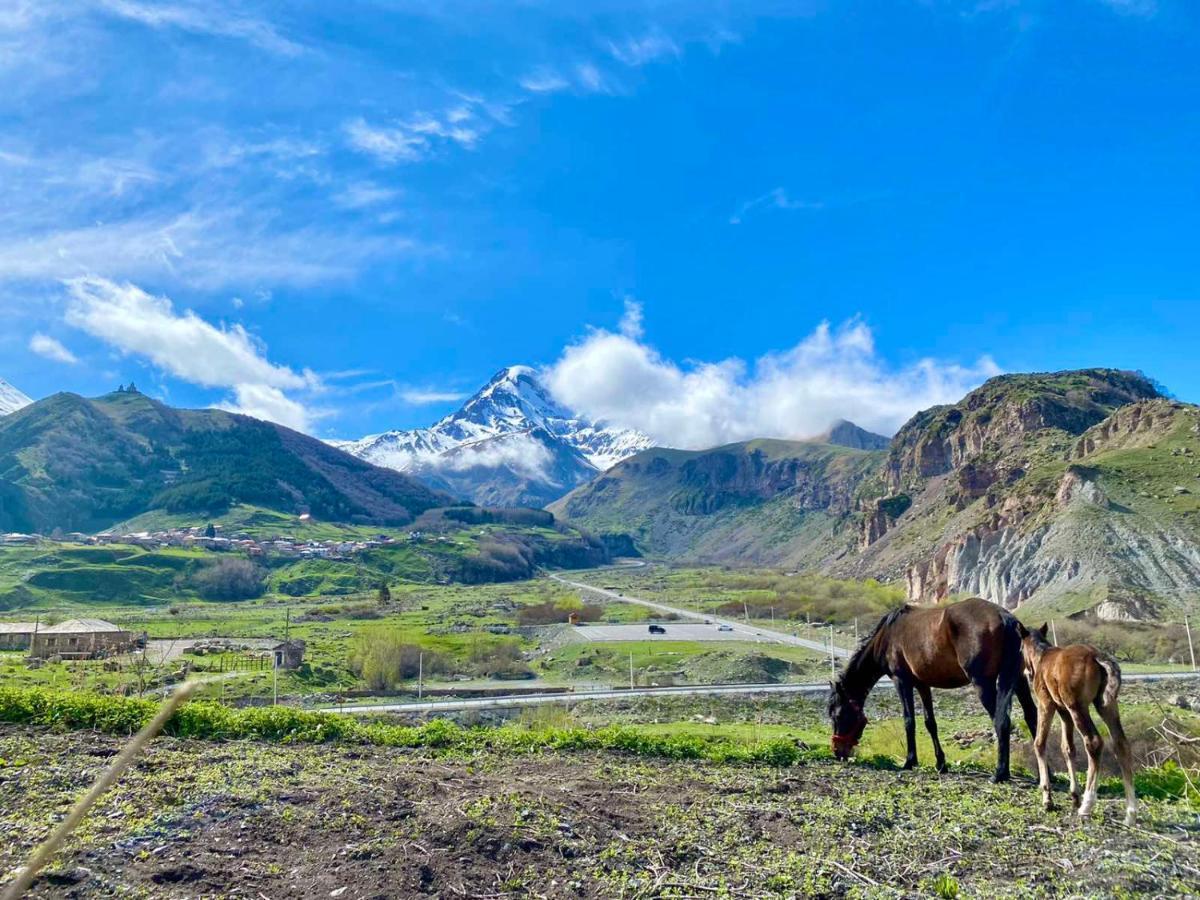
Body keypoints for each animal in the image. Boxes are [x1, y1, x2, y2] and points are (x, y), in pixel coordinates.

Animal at [830, 600, 1036, 782]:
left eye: (838, 715)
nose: (837, 752)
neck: (887, 636)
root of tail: (1005, 617)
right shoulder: (923, 685)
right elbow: (930, 723)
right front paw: (941, 764)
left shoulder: (901, 682)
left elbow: (909, 721)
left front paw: (909, 761)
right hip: (1019, 680)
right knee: (1032, 716)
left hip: (983, 684)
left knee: (1001, 721)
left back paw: (1000, 773)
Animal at [1017, 628, 1137, 825]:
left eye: (1020, 648)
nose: (1027, 673)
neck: (1043, 657)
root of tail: (1097, 656)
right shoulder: (1063, 712)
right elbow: (1068, 748)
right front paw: (1074, 796)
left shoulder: (1046, 704)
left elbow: (1039, 743)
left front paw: (1047, 799)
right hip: (1106, 705)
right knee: (1121, 744)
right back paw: (1130, 813)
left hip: (1078, 707)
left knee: (1094, 742)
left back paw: (1087, 806)